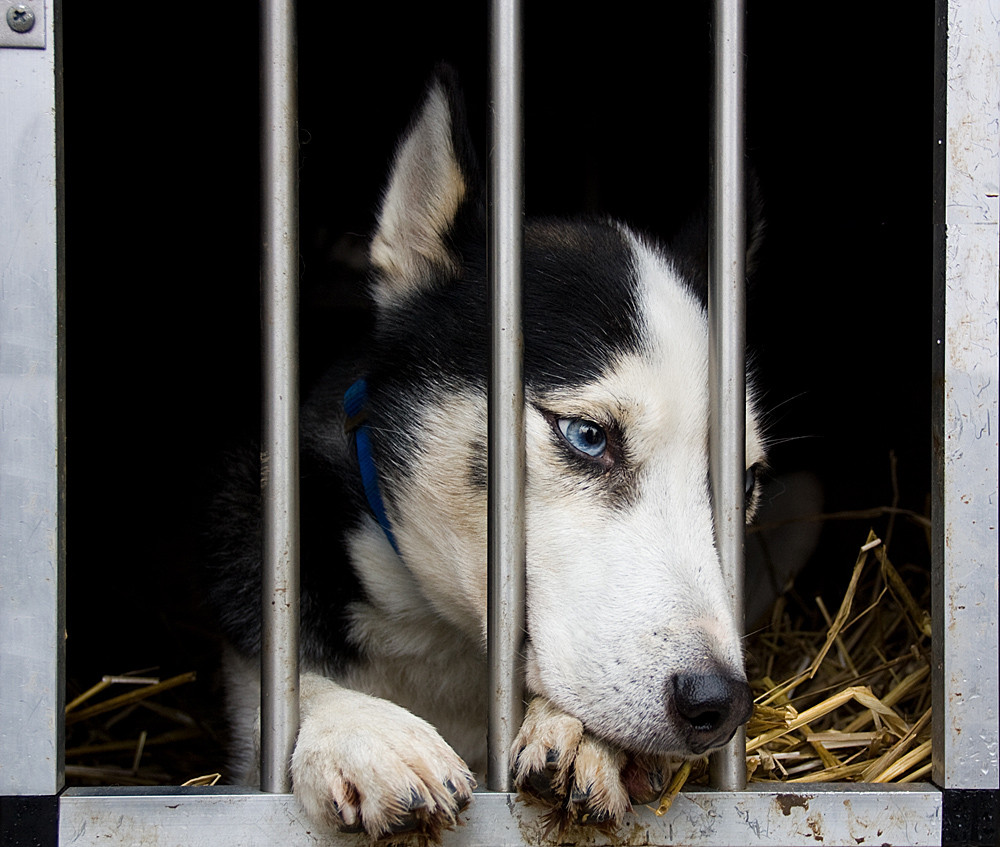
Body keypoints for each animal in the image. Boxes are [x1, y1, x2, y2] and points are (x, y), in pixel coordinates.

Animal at [209, 66, 764, 840]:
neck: (442, 639)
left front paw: (578, 734)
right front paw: (361, 727)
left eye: (746, 483)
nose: (718, 700)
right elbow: (288, 688)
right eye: (587, 435)